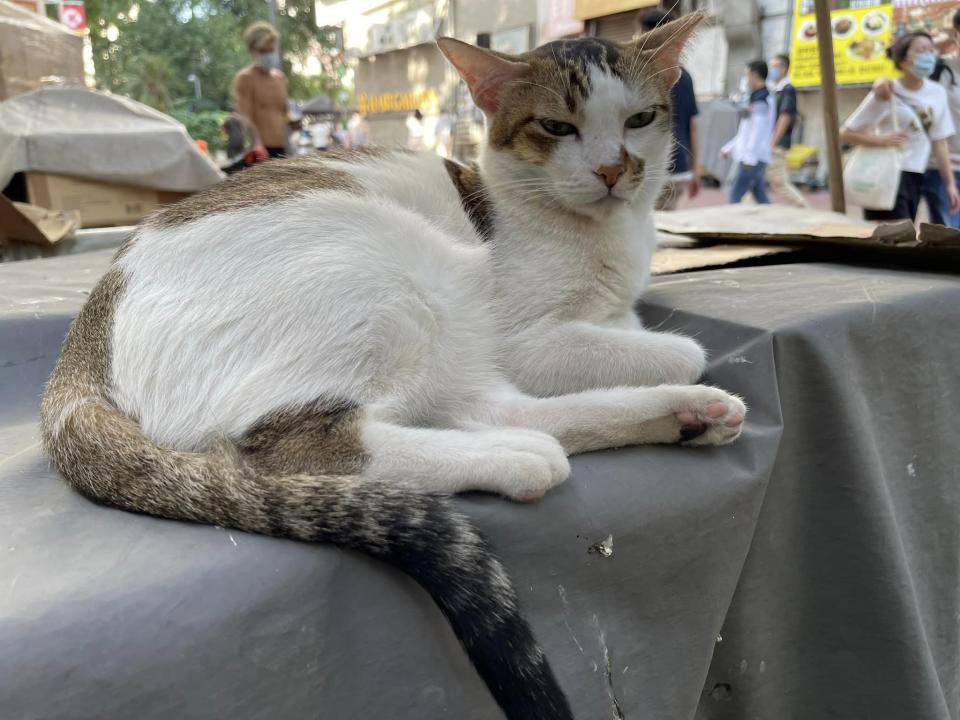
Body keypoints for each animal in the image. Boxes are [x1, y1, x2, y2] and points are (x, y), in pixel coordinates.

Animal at [41, 12, 744, 720]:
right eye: (557, 127)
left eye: (640, 119)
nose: (611, 170)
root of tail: (83, 341)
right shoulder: (524, 338)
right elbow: (685, 349)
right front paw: (673, 359)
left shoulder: (600, 316)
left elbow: (636, 336)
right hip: (408, 273)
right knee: (298, 451)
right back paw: (517, 458)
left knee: (498, 410)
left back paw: (684, 415)